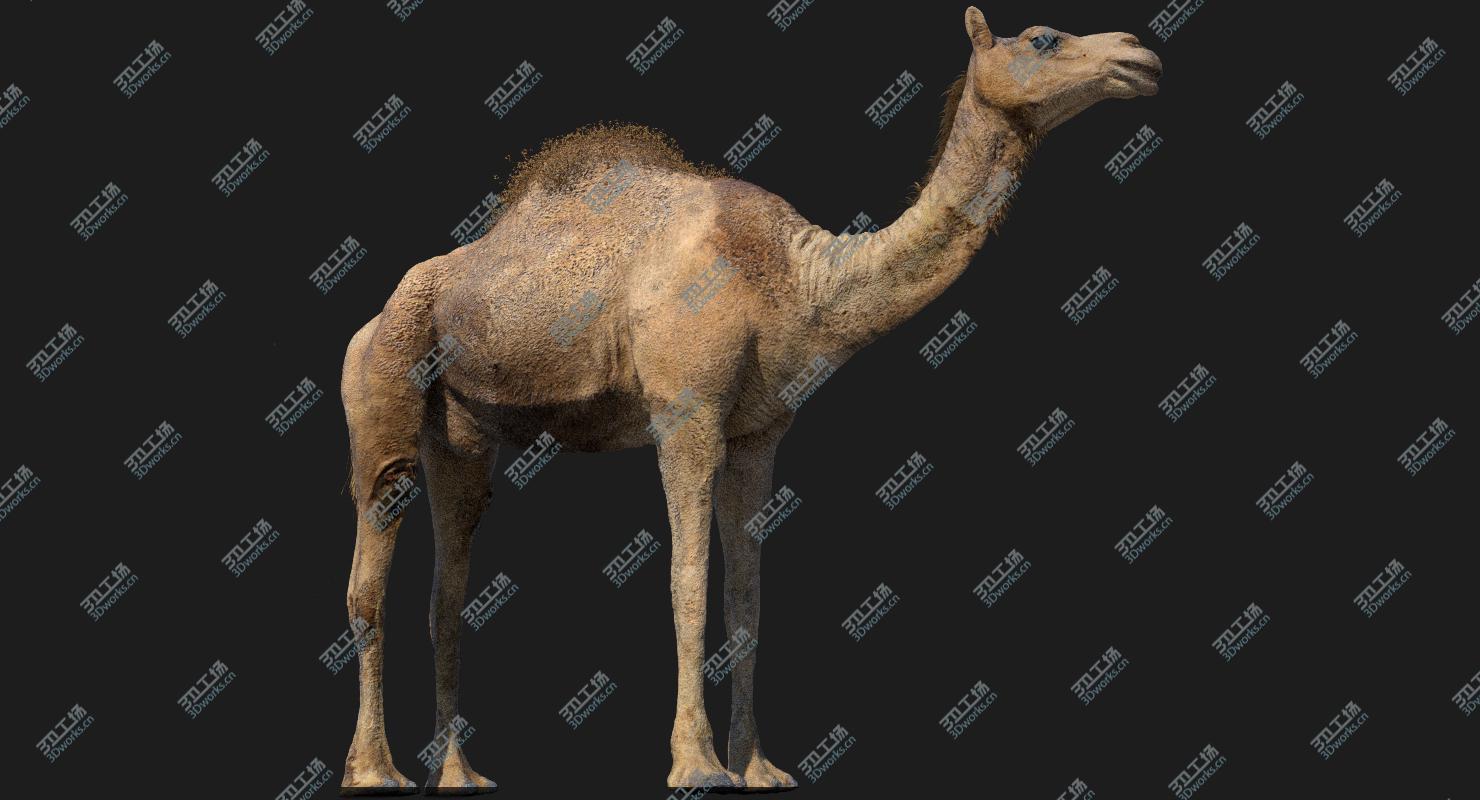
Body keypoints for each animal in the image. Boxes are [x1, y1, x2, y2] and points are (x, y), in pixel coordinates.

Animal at [338, 6, 1160, 793]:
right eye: (1043, 37)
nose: (1139, 55)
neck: (796, 279)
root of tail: (369, 323)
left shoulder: (758, 433)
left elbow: (747, 596)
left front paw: (758, 767)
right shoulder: (686, 412)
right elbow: (687, 581)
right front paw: (697, 764)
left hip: (463, 433)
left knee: (449, 588)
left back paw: (457, 773)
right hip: (382, 378)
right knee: (373, 554)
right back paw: (374, 771)